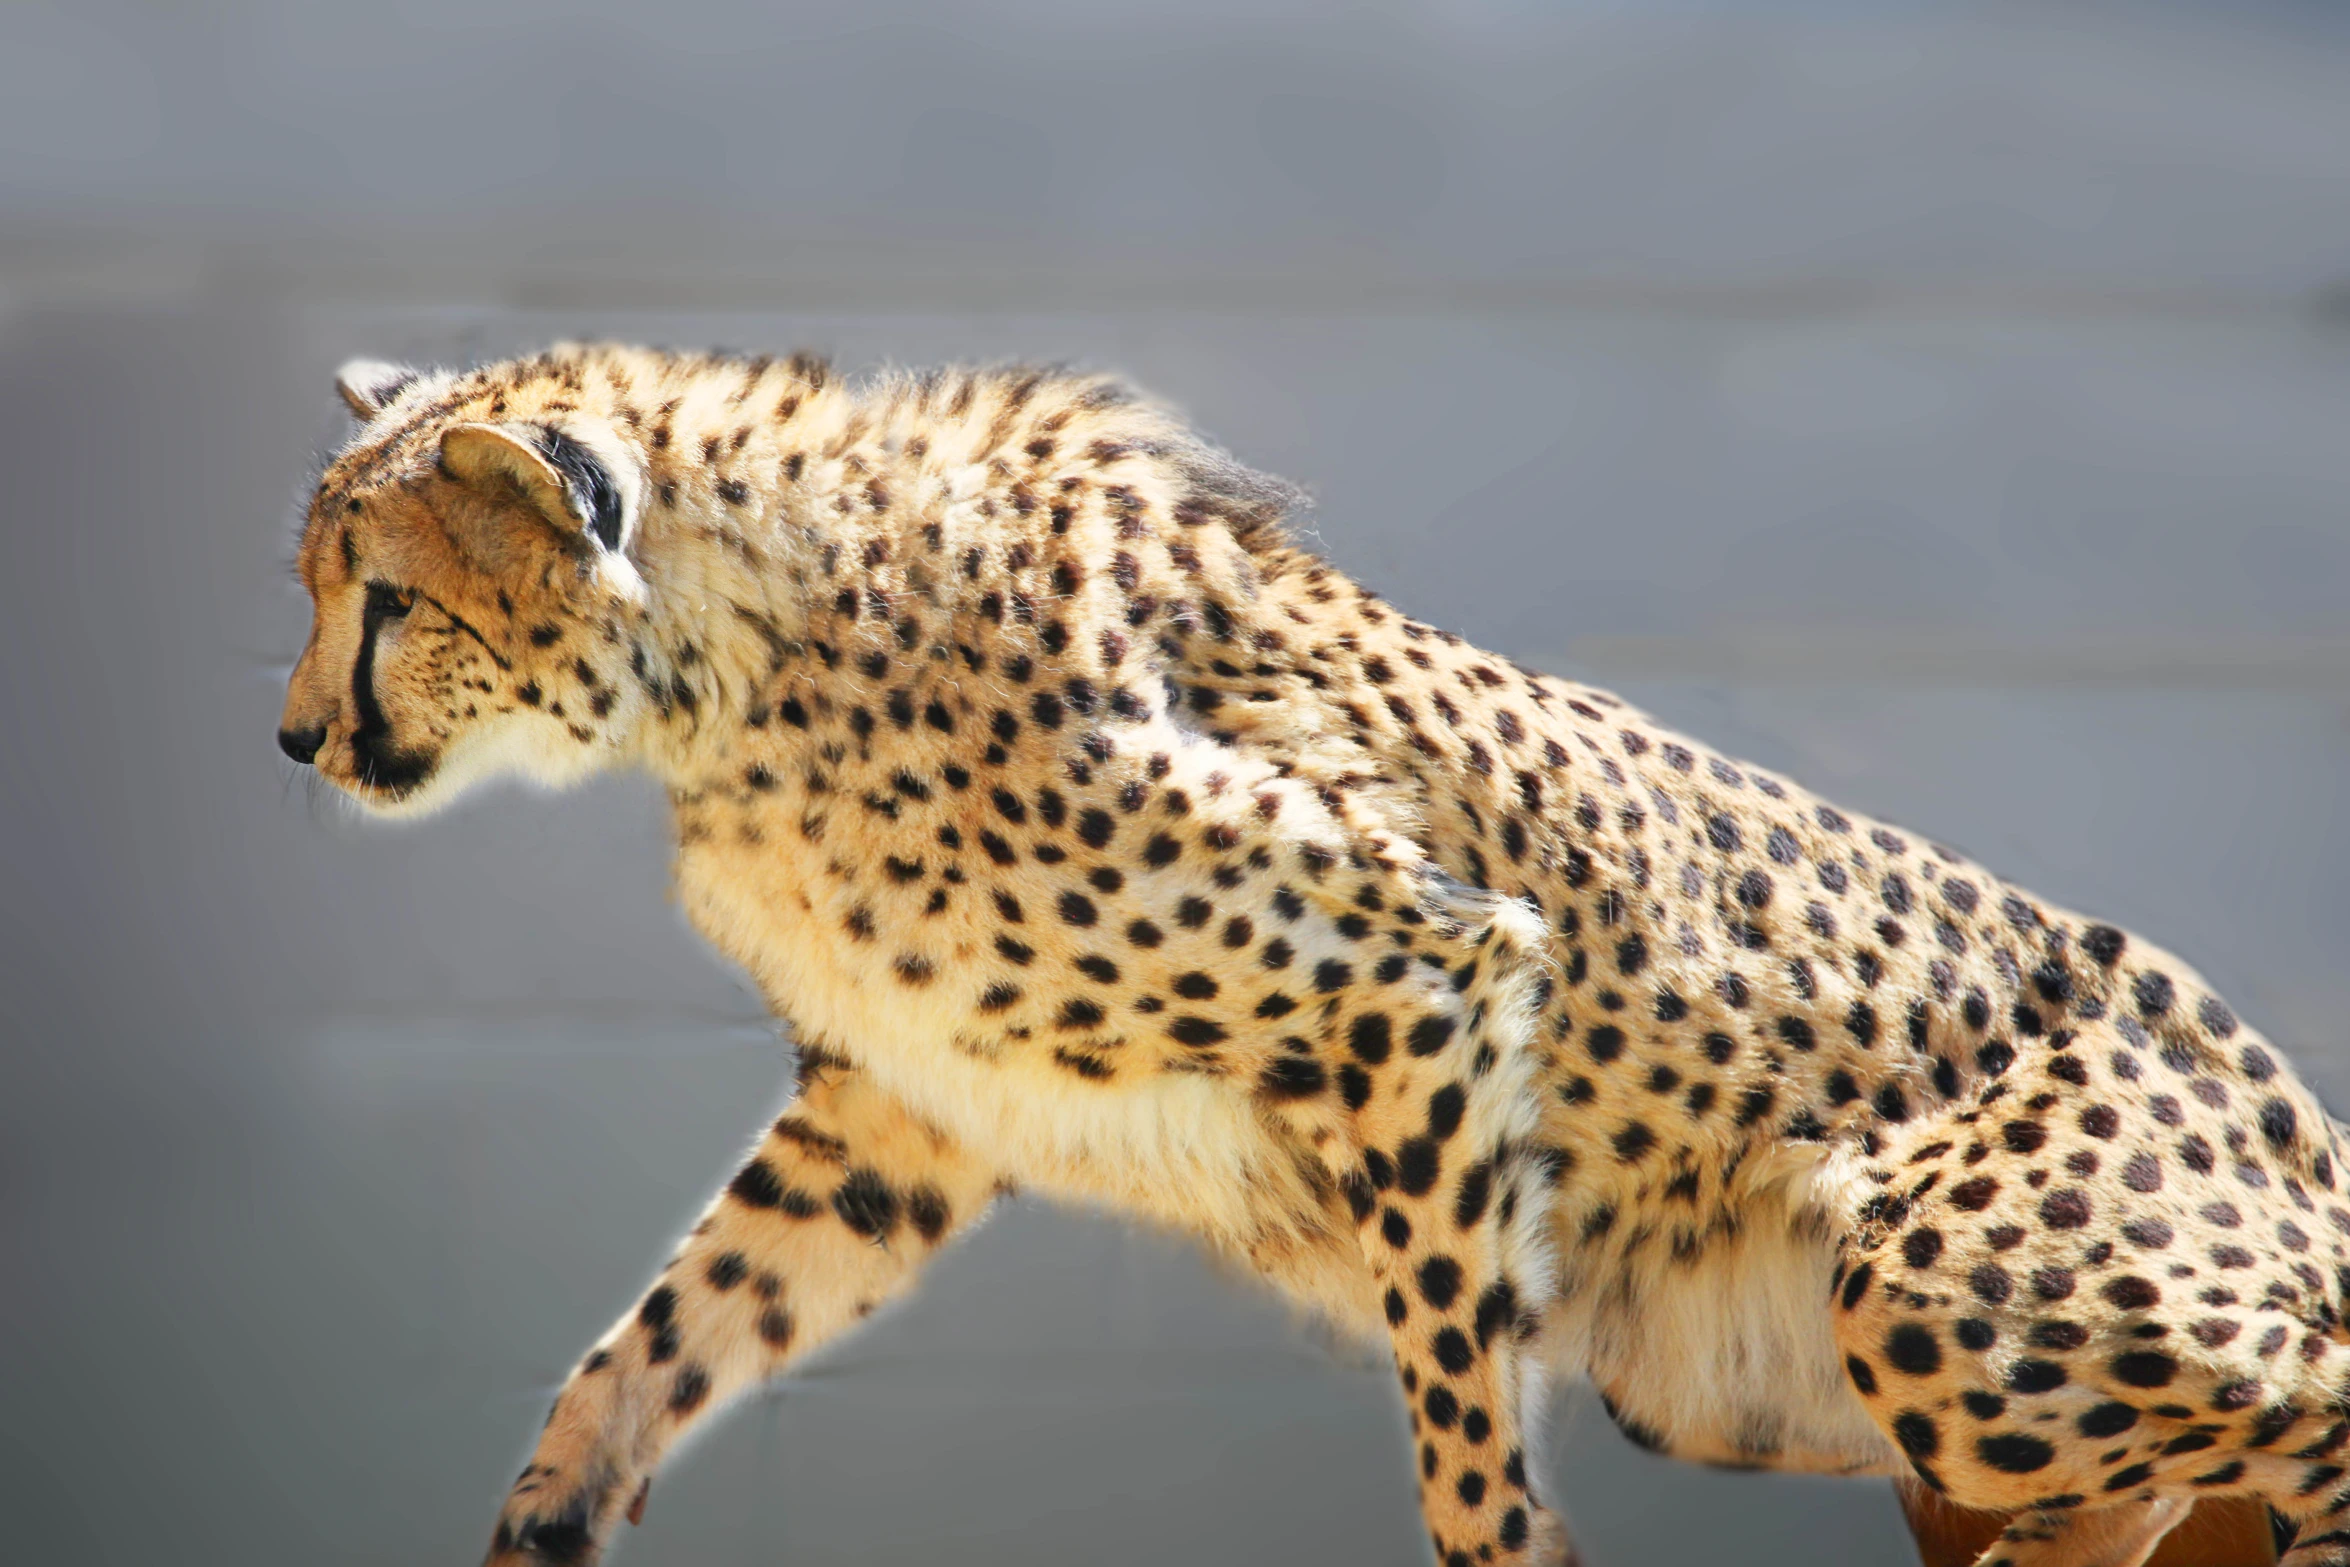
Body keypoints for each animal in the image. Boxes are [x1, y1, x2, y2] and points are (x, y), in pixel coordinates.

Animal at [279, 345, 2350, 1567]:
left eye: (386, 600)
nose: (295, 741)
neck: (738, 662)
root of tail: (2292, 1105)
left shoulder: (1413, 982)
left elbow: (1458, 1401)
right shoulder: (909, 1113)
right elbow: (677, 1324)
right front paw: (555, 1507)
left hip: (1926, 1282)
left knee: (2311, 1402)